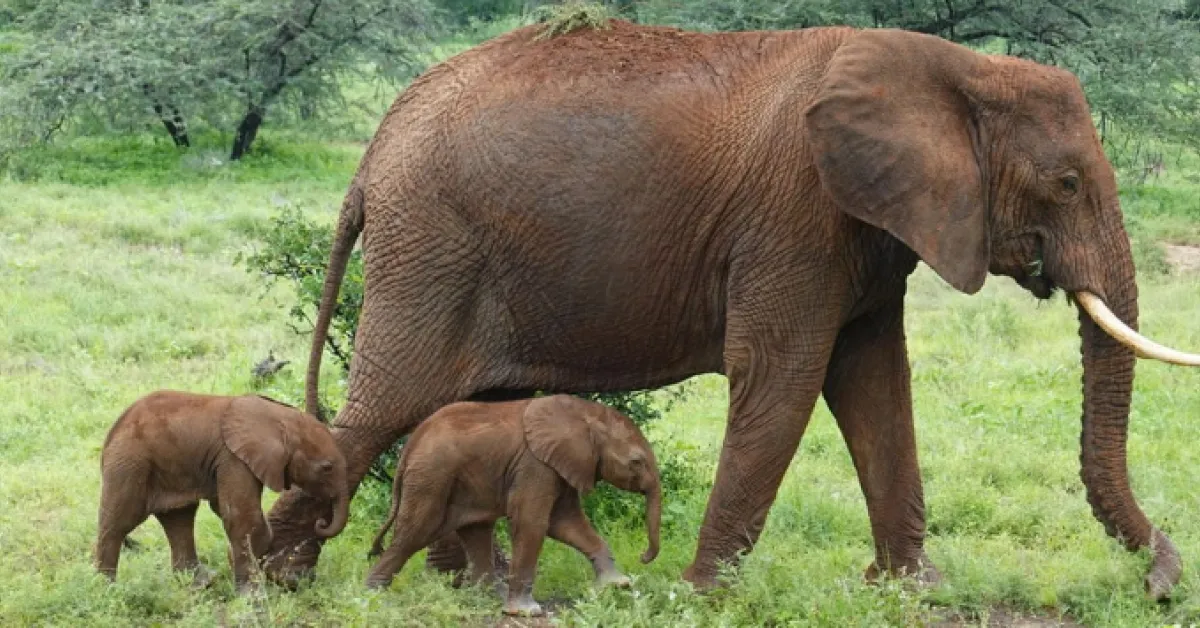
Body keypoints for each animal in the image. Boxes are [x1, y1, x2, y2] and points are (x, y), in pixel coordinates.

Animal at [95, 391, 349, 590]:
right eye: (327, 468)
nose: (321, 523)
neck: (281, 418)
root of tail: (111, 433)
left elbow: (225, 508)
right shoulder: (233, 458)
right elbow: (240, 515)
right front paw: (251, 593)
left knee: (178, 517)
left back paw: (202, 583)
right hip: (130, 463)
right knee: (119, 522)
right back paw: (107, 590)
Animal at [363, 394, 661, 616]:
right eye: (636, 462)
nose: (643, 557)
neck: (586, 413)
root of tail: (411, 445)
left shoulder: (559, 465)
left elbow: (566, 524)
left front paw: (618, 585)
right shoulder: (534, 465)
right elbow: (533, 523)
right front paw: (527, 612)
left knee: (476, 532)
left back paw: (488, 598)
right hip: (431, 476)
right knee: (414, 533)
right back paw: (372, 596)